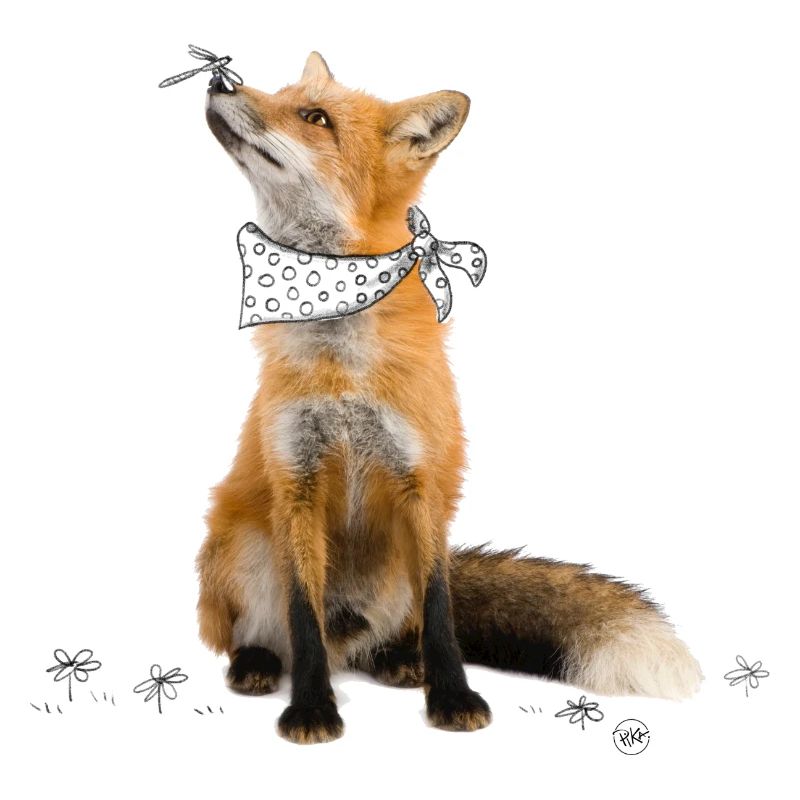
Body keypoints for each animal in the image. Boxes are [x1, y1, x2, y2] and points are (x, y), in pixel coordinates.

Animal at [195, 51, 703, 744]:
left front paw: (453, 697)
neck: (343, 355)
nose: (219, 80)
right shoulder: (295, 480)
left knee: (394, 630)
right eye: (283, 92)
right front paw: (313, 709)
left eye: (314, 116)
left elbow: (441, 612)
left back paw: (399, 661)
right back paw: (258, 663)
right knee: (277, 636)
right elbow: (303, 615)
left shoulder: (423, 481)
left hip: (393, 573)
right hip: (240, 546)